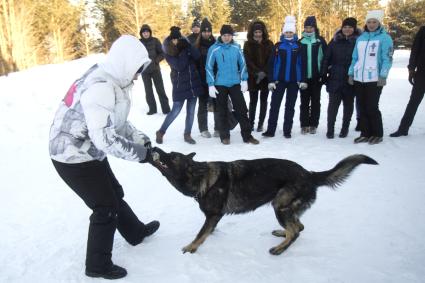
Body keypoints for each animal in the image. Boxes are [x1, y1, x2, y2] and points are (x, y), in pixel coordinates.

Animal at [150, 150, 378, 256]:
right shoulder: (213, 218)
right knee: (299, 226)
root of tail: (310, 175)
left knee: (296, 230)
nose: (155, 147)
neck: (201, 177)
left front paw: (191, 248)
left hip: (280, 205)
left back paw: (279, 249)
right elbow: (206, 232)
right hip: (286, 208)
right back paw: (282, 234)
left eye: (172, 157)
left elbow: (200, 234)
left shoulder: (214, 215)